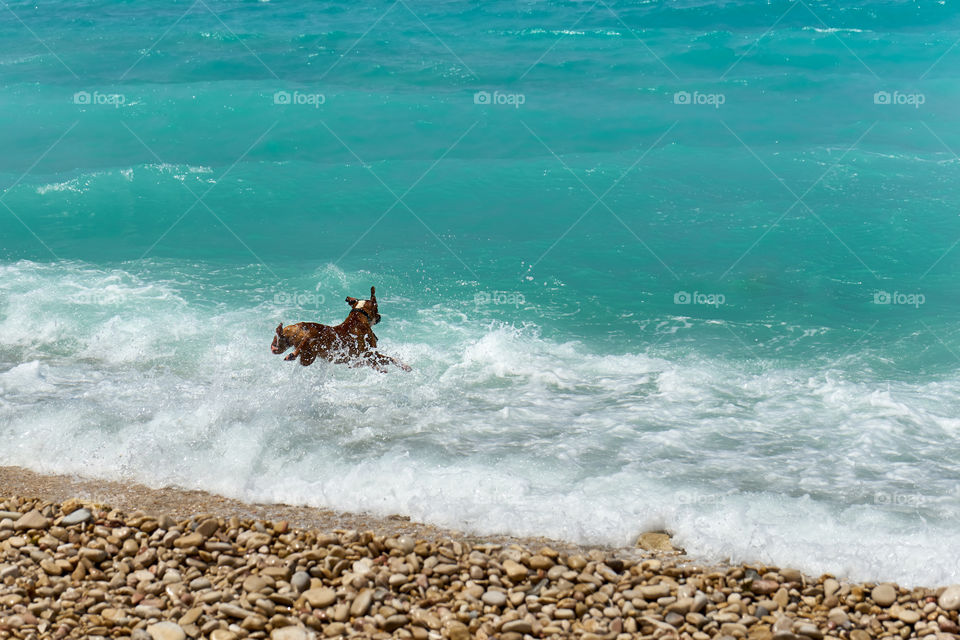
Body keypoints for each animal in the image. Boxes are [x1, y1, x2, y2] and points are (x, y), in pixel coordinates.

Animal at [268, 288, 410, 372]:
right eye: (377, 308)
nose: (380, 316)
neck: (359, 316)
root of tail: (300, 325)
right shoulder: (371, 354)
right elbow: (390, 359)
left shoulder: (369, 356)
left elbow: (387, 360)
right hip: (311, 346)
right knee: (306, 340)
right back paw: (293, 353)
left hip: (300, 353)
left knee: (280, 345)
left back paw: (277, 342)